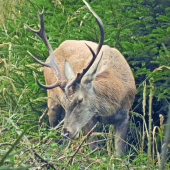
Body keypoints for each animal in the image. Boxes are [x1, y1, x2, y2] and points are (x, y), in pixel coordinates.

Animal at [25, 0, 136, 155]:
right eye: (64, 102)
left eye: (80, 100)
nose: (66, 132)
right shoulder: (90, 118)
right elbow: (94, 148)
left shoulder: (125, 115)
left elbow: (120, 154)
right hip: (51, 99)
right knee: (51, 130)